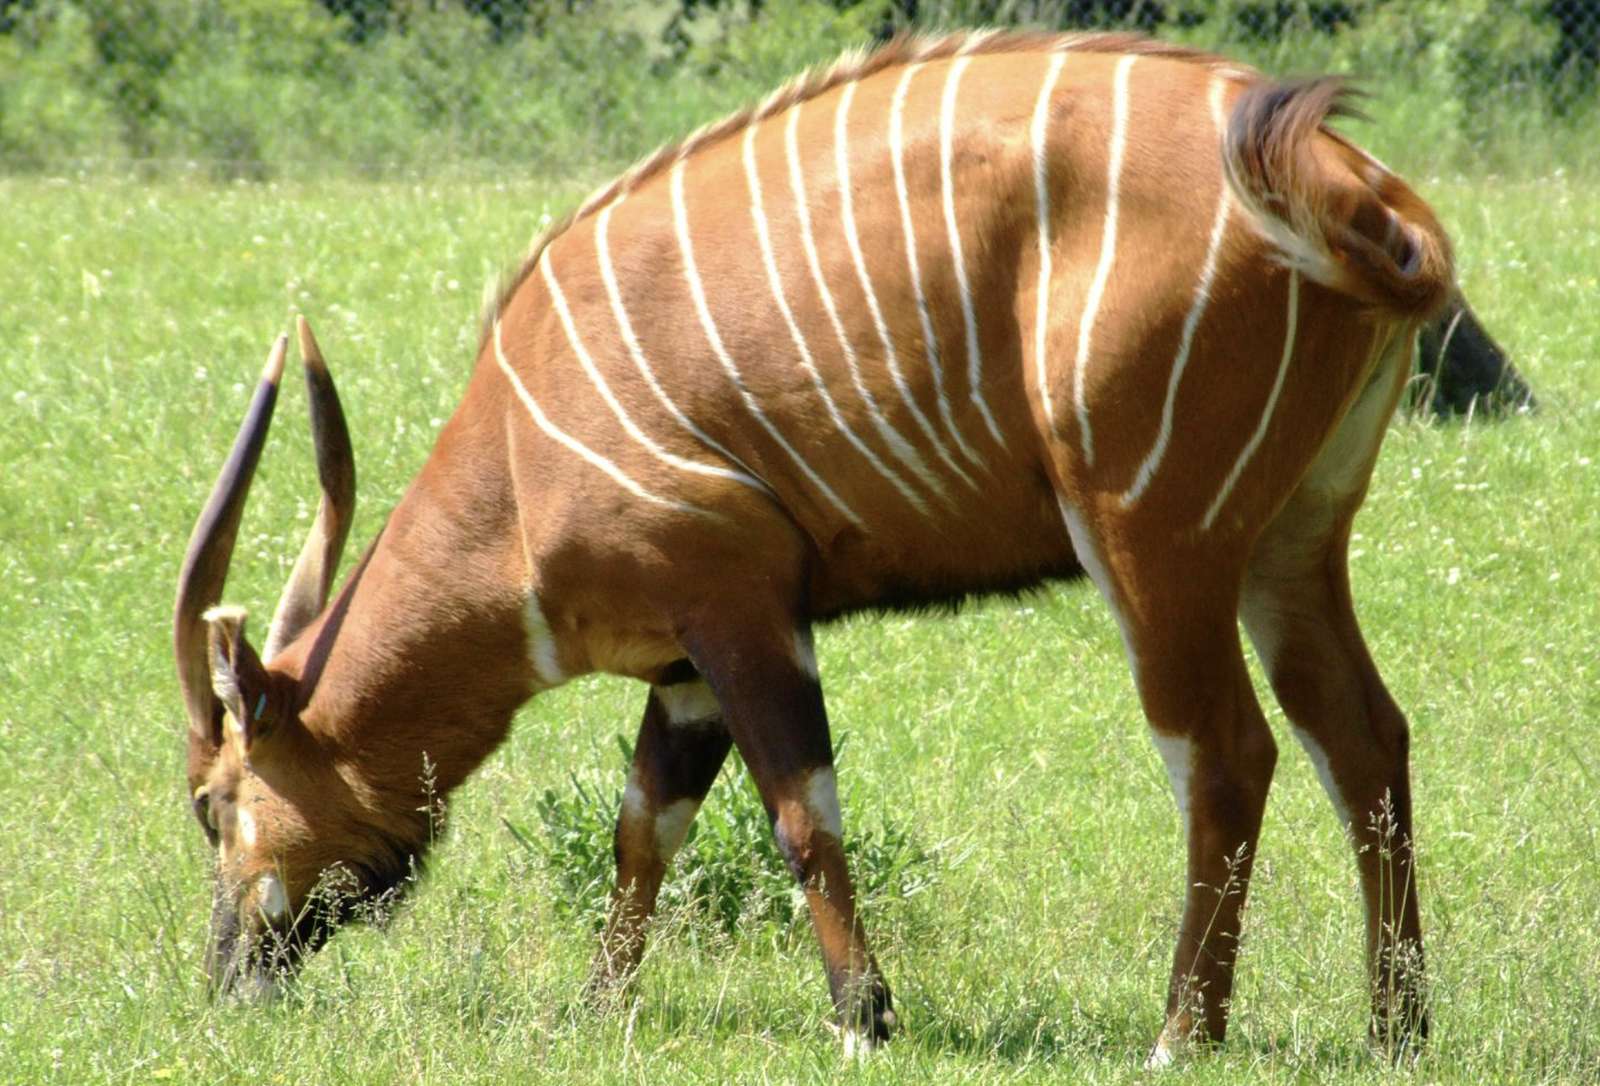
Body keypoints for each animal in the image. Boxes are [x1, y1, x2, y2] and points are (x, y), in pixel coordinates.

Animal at [175, 31, 1452, 1062]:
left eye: (213, 803)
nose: (227, 978)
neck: (517, 477)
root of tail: (1359, 190)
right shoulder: (684, 664)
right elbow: (645, 825)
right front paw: (597, 1008)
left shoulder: (740, 611)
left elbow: (802, 812)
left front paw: (862, 1016)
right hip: (1294, 540)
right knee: (1361, 735)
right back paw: (1394, 1026)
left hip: (1153, 540)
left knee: (1228, 753)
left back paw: (1180, 1034)